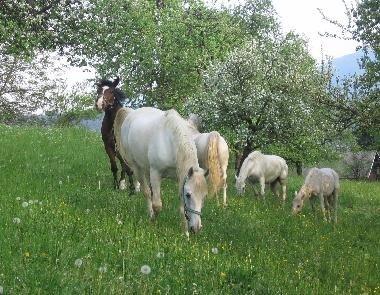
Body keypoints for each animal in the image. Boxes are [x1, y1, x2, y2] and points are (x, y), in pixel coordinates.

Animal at [113, 107, 208, 236]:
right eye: (188, 195)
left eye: (204, 196)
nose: (196, 228)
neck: (170, 140)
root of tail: (131, 113)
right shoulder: (155, 173)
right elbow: (157, 205)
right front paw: (153, 221)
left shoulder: (181, 178)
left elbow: (182, 208)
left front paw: (185, 234)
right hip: (137, 168)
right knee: (147, 192)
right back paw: (150, 213)